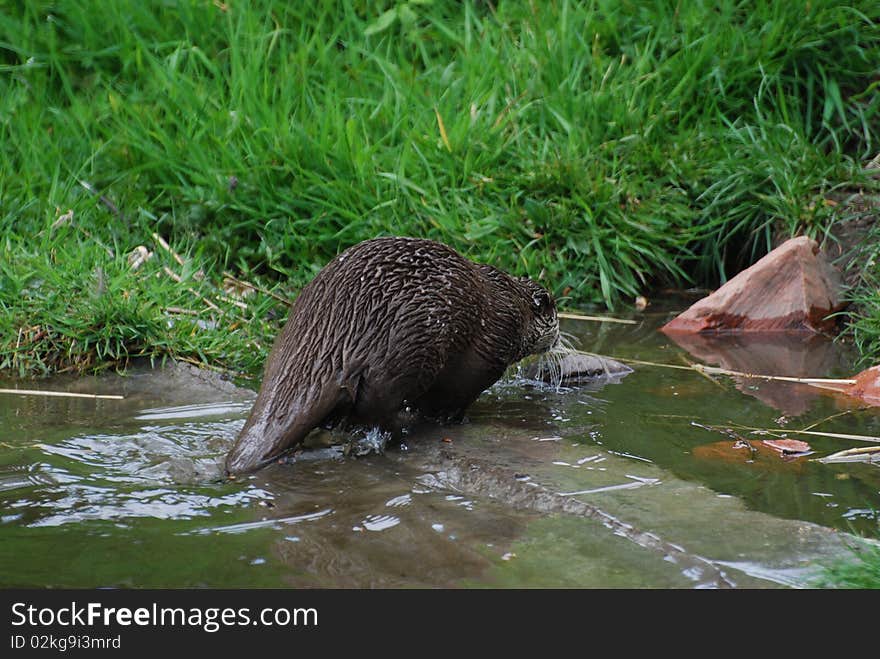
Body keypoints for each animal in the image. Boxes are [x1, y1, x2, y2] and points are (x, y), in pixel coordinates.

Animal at [225, 237, 556, 474]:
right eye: (553, 316)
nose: (556, 339)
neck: (512, 309)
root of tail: (338, 338)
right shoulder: (488, 357)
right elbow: (450, 400)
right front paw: (453, 420)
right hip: (408, 354)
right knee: (375, 409)